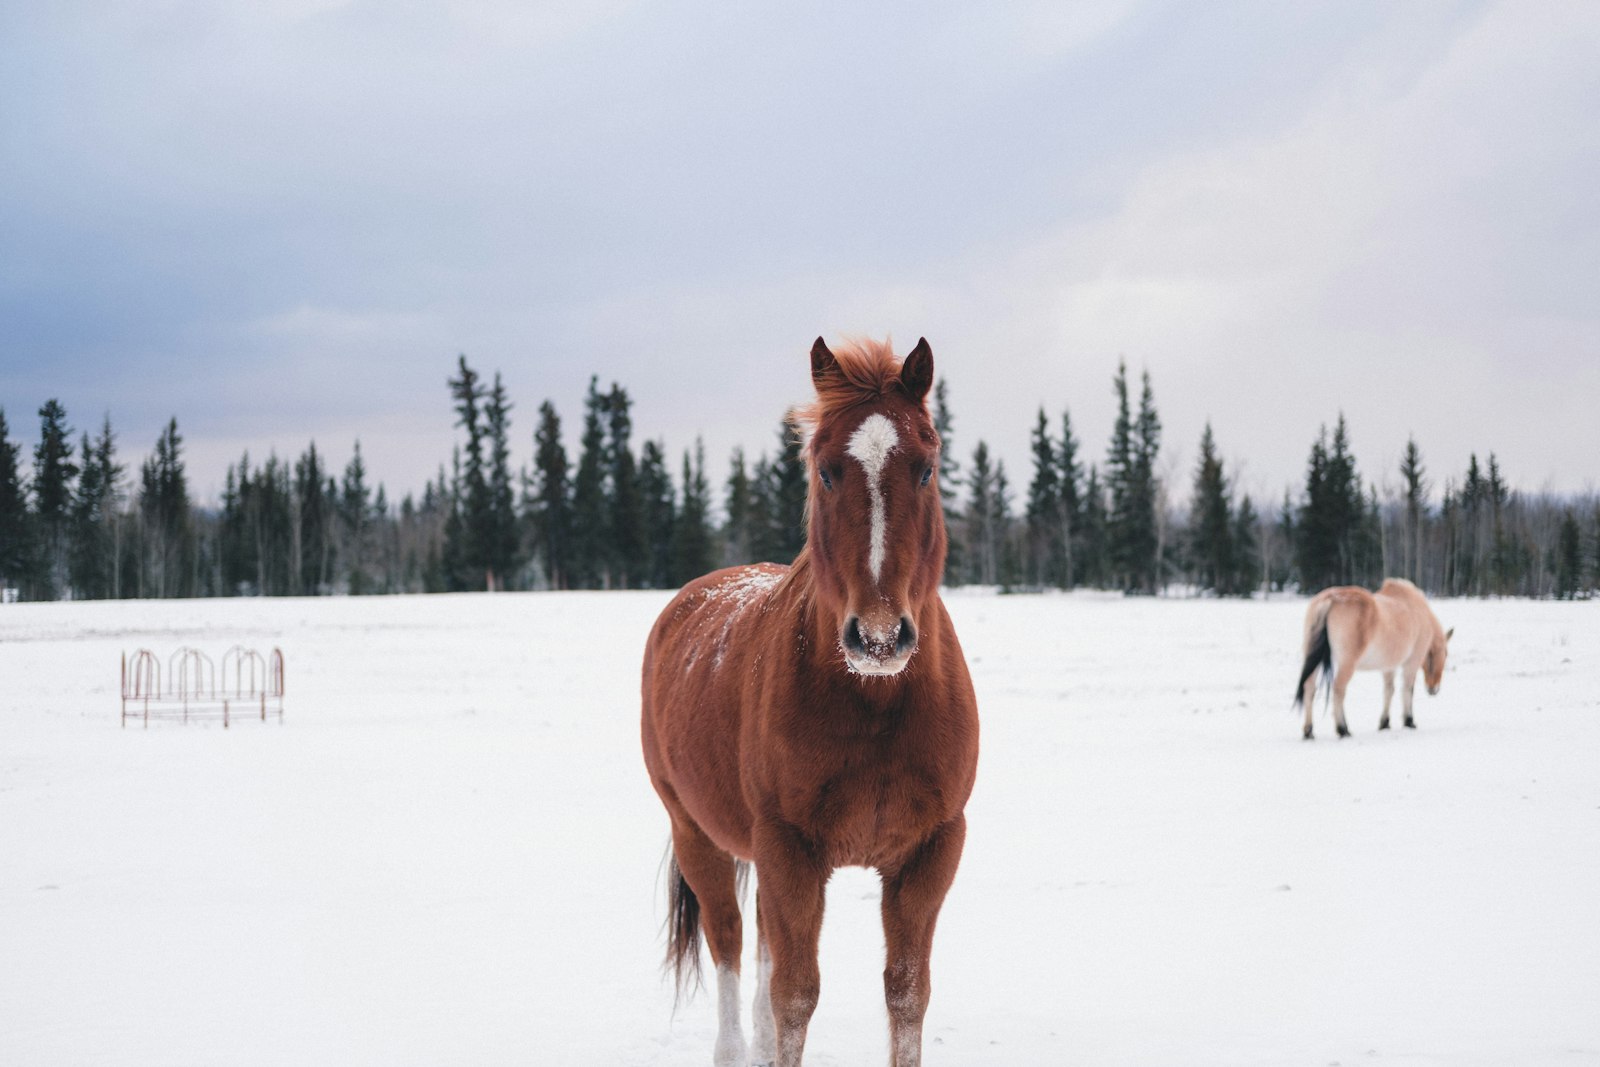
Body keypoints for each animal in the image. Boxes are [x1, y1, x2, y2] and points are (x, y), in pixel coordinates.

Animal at [636, 337, 972, 1062]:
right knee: (732, 946)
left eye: (927, 467)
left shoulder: (931, 852)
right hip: (698, 834)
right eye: (826, 471)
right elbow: (794, 999)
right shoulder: (790, 850)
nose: (878, 636)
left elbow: (906, 995)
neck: (875, 706)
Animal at [1292, 579, 1459, 739]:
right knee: (1338, 689)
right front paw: (1409, 721)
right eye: (1444, 654)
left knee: (1309, 688)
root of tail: (1330, 599)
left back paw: (1308, 731)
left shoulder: (1388, 667)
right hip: (1347, 664)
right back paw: (1343, 729)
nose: (1433, 689)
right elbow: (1407, 689)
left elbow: (1389, 691)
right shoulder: (1411, 663)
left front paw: (1385, 723)